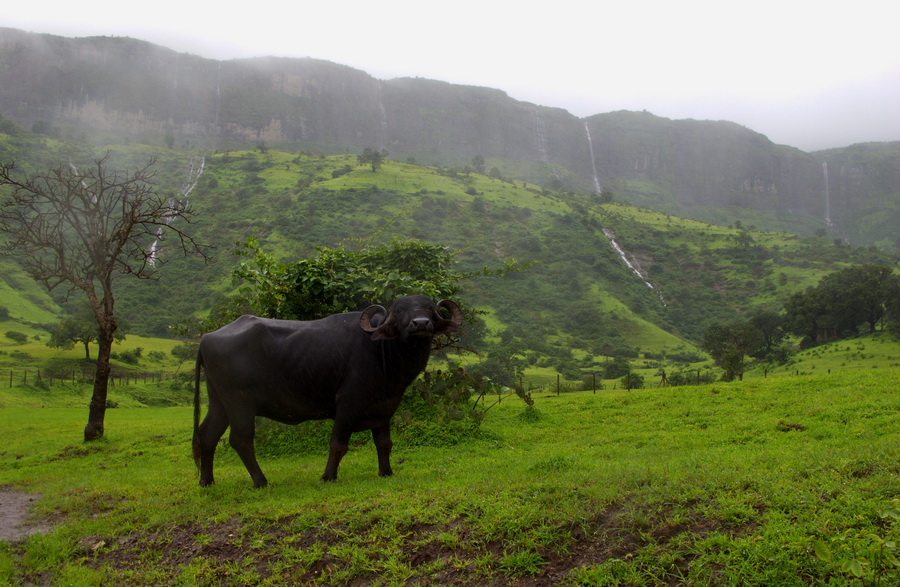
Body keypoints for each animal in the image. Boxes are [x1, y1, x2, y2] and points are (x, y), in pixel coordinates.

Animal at [195, 294, 464, 486]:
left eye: (429, 308)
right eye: (399, 311)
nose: (421, 323)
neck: (382, 351)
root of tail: (206, 338)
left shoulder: (383, 408)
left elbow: (384, 443)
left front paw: (386, 472)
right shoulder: (347, 405)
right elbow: (338, 443)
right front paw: (328, 476)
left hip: (220, 402)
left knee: (207, 434)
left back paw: (207, 481)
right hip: (240, 404)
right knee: (240, 440)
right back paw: (261, 481)